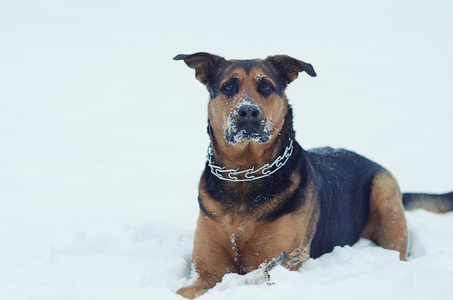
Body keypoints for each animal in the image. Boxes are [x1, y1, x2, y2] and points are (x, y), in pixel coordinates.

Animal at [172, 52, 452, 298]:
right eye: (229, 87)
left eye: (267, 87)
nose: (248, 112)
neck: (244, 174)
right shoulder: (206, 271)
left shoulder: (277, 265)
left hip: (385, 194)